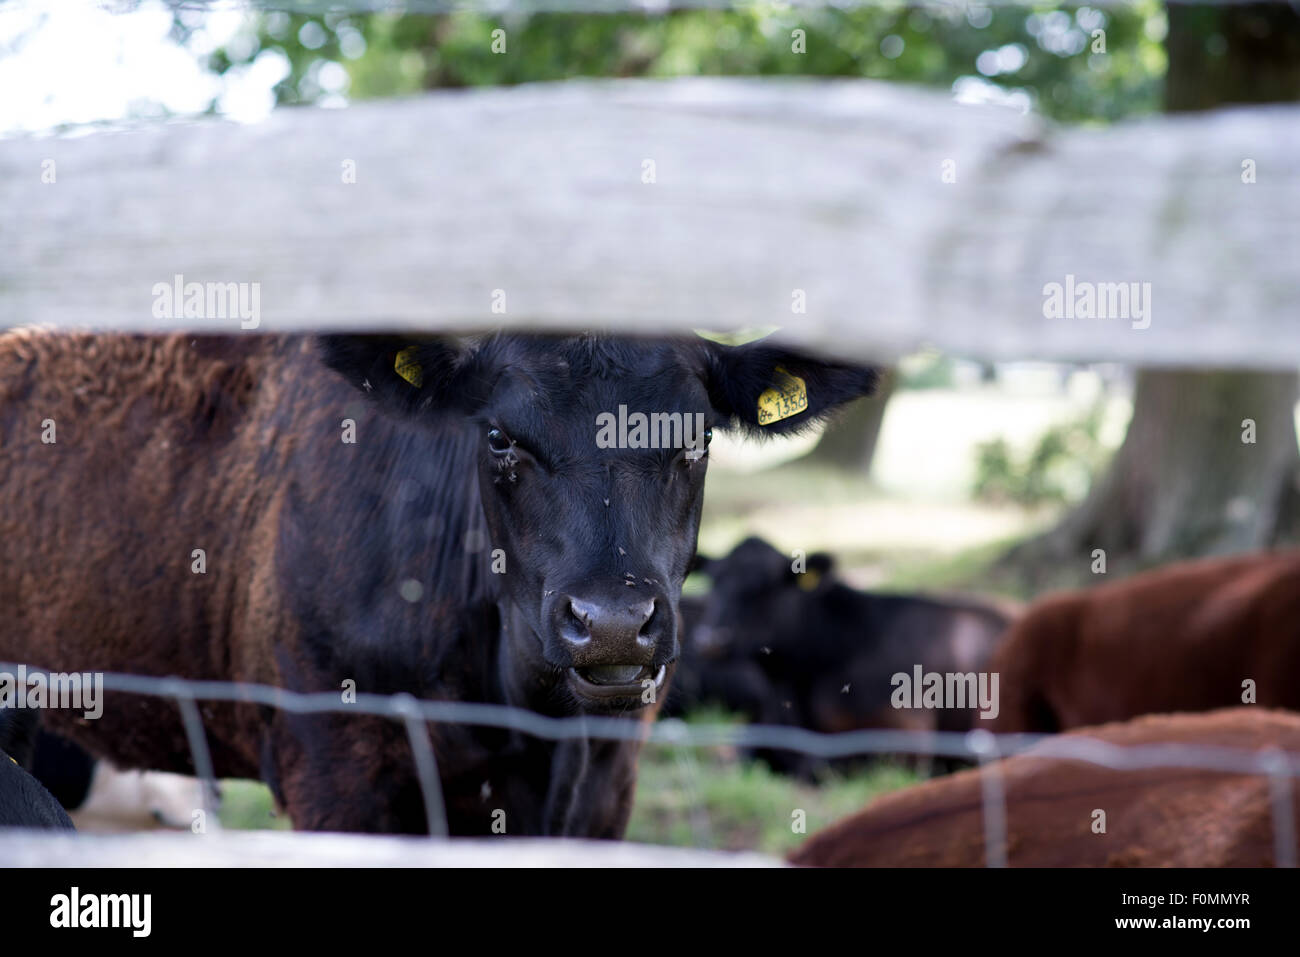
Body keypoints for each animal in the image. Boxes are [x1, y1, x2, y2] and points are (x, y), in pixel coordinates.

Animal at [670, 538, 1013, 780]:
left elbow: (821, 765)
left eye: (766, 586)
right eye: (715, 581)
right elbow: (745, 754)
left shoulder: (905, 737)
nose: (710, 640)